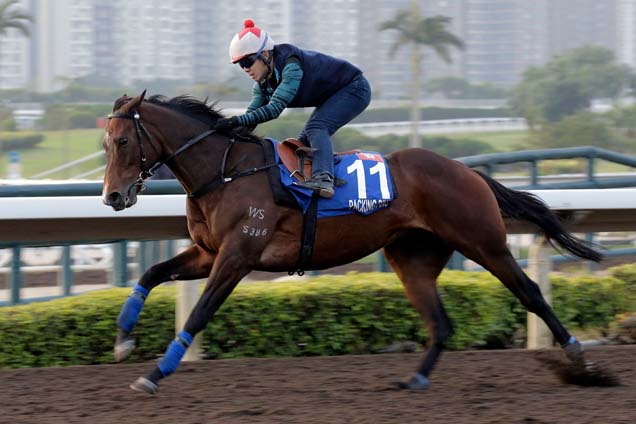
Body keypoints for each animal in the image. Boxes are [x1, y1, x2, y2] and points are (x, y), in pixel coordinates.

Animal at [102, 92, 604, 394]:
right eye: (105, 144)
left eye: (124, 141)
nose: (112, 196)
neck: (225, 172)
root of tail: (467, 170)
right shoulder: (209, 253)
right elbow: (151, 275)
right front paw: (124, 341)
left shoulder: (238, 255)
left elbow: (200, 313)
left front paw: (154, 374)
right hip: (411, 257)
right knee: (441, 324)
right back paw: (415, 381)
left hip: (484, 242)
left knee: (530, 292)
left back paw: (578, 359)